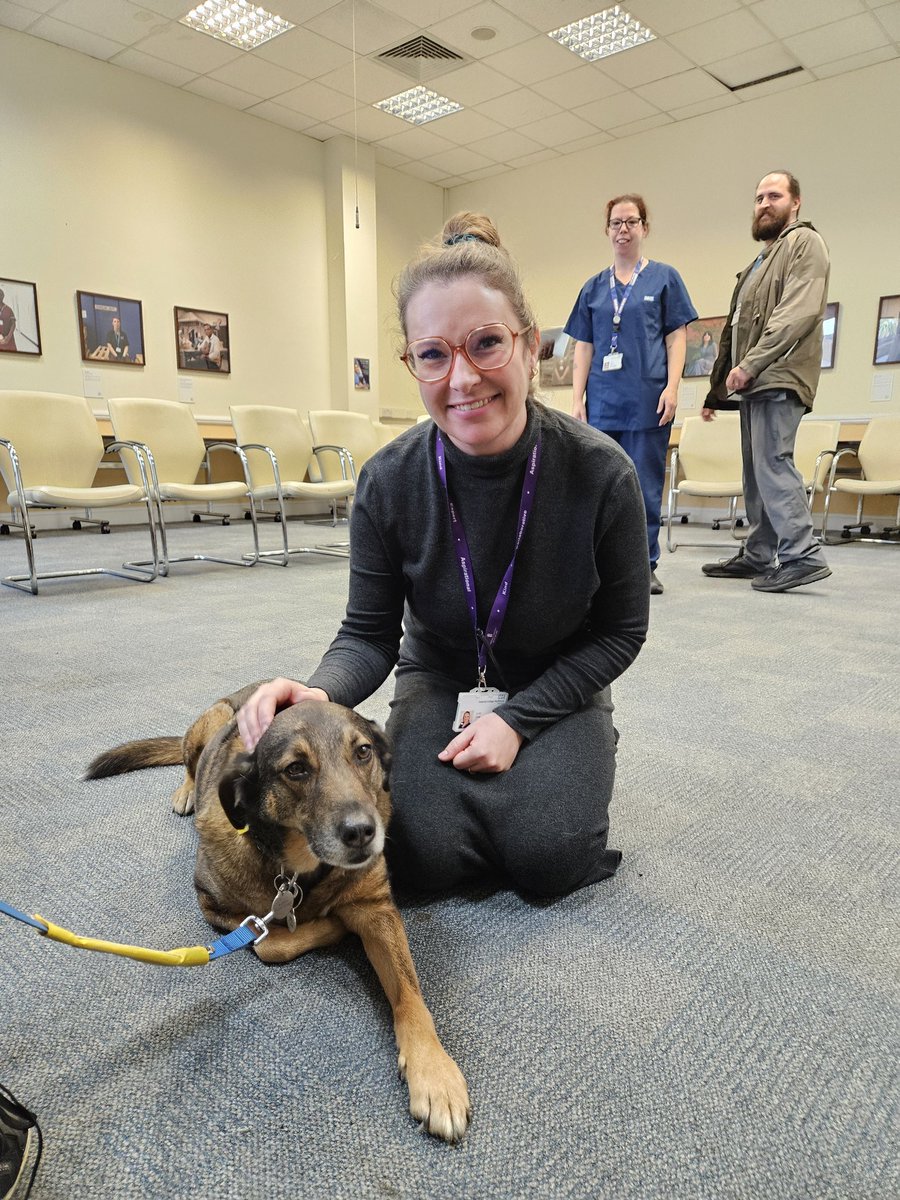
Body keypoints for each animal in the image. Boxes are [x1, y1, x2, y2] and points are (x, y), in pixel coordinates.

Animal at [86, 686, 472, 1142]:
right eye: (296, 769)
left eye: (362, 752)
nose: (363, 833)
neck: (299, 868)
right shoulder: (216, 907)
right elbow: (273, 945)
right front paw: (331, 924)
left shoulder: (376, 907)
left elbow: (410, 995)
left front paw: (435, 1073)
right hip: (208, 724)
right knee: (190, 766)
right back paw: (187, 791)